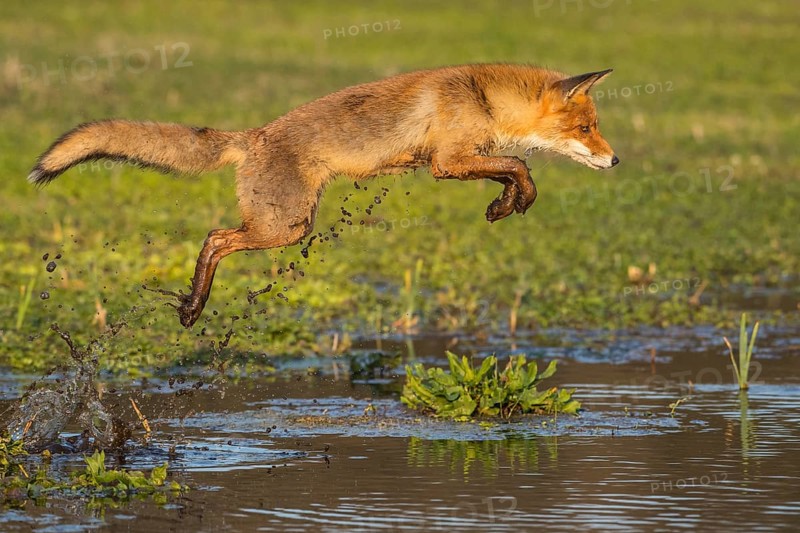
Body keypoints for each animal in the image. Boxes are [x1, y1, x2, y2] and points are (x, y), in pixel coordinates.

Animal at [28, 63, 618, 328]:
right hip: (286, 227)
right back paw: (194, 304)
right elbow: (518, 165)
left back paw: (193, 303)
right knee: (216, 237)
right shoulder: (447, 163)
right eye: (587, 129)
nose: (615, 161)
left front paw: (505, 204)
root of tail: (254, 136)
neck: (484, 97)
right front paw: (515, 200)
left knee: (218, 236)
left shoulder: (455, 162)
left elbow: (514, 170)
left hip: (286, 225)